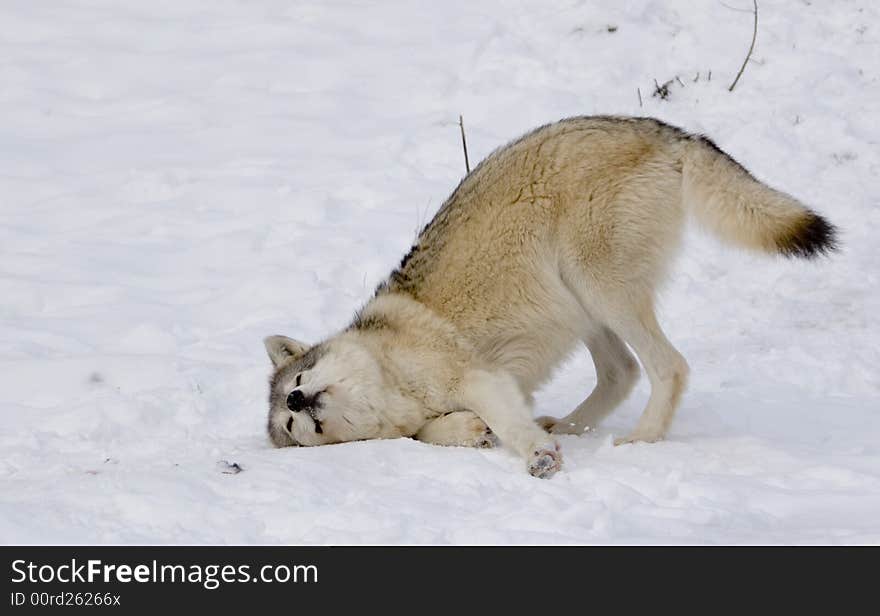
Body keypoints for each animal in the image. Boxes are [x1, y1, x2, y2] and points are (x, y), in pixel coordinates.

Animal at [262, 116, 840, 482]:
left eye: (297, 380)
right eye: (291, 425)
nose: (295, 400)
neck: (390, 379)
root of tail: (665, 131)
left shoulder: (480, 377)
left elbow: (500, 422)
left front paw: (537, 457)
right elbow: (436, 433)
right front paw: (477, 432)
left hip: (597, 288)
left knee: (668, 366)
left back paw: (640, 441)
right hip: (583, 307)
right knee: (623, 372)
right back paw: (567, 426)